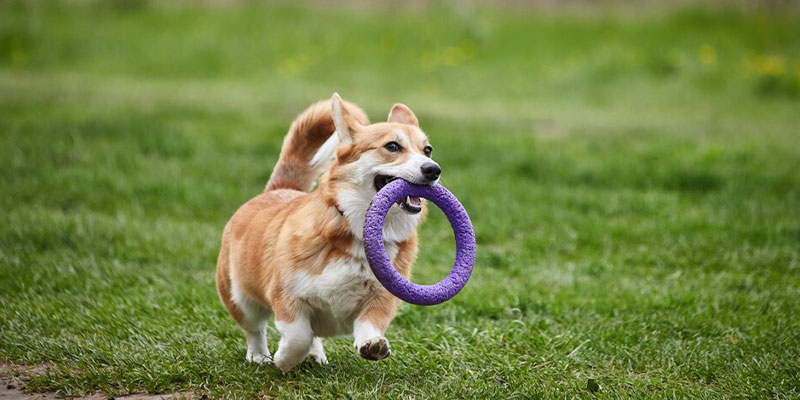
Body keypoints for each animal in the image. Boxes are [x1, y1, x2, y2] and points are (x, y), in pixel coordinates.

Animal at [216, 92, 440, 370]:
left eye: (427, 150)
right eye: (392, 146)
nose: (433, 169)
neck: (357, 233)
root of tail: (279, 188)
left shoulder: (382, 297)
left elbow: (369, 323)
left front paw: (373, 345)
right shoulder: (287, 296)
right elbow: (297, 335)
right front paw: (284, 359)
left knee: (314, 335)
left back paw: (315, 355)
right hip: (240, 298)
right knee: (255, 329)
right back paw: (259, 356)